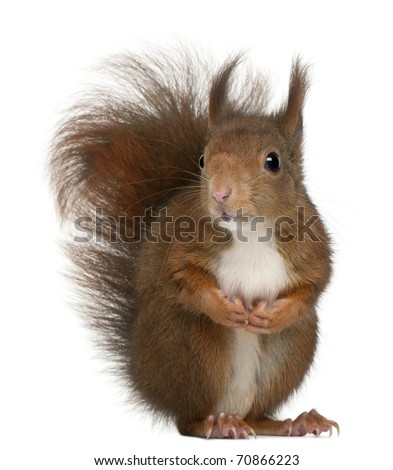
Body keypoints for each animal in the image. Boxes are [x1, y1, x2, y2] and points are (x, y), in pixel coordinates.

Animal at [50, 46, 338, 438]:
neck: (249, 232)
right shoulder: (183, 246)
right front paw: (223, 308)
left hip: (292, 347)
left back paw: (295, 422)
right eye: (202, 159)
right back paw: (216, 425)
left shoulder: (311, 245)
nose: (219, 193)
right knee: (186, 420)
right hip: (188, 347)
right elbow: (181, 277)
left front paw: (278, 313)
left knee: (258, 415)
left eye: (273, 161)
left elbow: (315, 283)